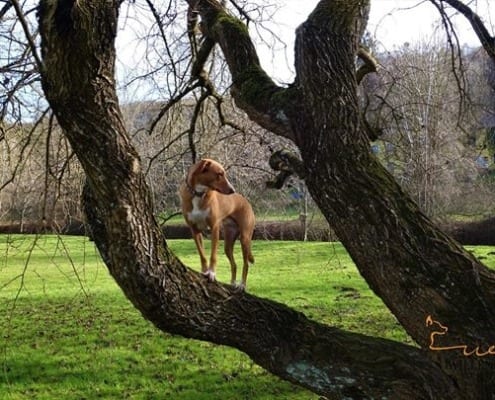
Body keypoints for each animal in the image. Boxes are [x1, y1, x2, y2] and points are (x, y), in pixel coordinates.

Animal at [180, 158, 256, 290]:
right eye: (219, 174)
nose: (232, 190)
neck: (198, 193)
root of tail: (246, 202)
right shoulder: (194, 230)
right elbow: (202, 255)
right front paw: (204, 271)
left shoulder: (214, 227)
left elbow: (213, 255)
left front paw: (211, 273)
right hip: (228, 243)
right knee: (234, 264)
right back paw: (232, 283)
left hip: (245, 238)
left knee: (246, 264)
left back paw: (242, 285)